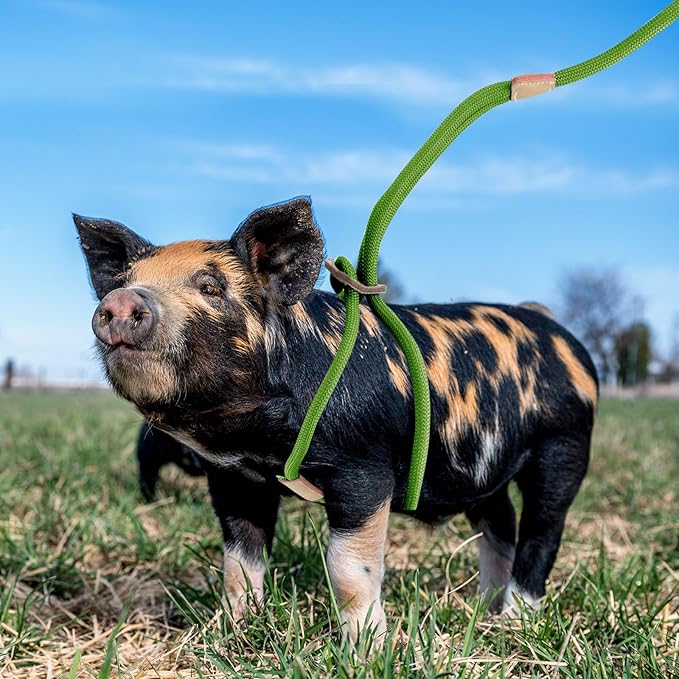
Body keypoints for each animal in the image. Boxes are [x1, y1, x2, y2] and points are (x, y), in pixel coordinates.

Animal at [74, 197, 597, 641]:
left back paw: (514, 621)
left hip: (564, 445)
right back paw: (484, 612)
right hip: (484, 470)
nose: (121, 302)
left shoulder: (364, 467)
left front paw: (366, 650)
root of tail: (557, 330)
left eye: (211, 287)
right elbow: (239, 562)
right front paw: (236, 631)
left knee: (541, 534)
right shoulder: (234, 477)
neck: (260, 440)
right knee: (499, 524)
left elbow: (349, 570)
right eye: (124, 281)